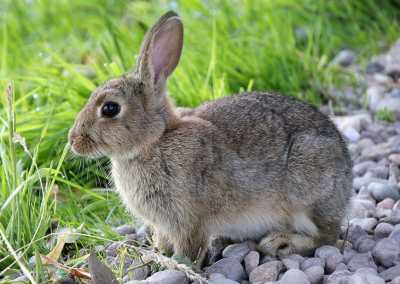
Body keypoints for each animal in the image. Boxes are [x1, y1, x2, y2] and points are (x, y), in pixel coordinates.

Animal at [69, 11, 354, 266]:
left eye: (110, 109)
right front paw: (157, 254)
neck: (155, 140)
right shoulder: (164, 224)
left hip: (308, 191)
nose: (73, 140)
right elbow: (163, 240)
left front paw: (178, 265)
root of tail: (347, 176)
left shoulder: (188, 220)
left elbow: (189, 248)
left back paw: (281, 242)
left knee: (327, 237)